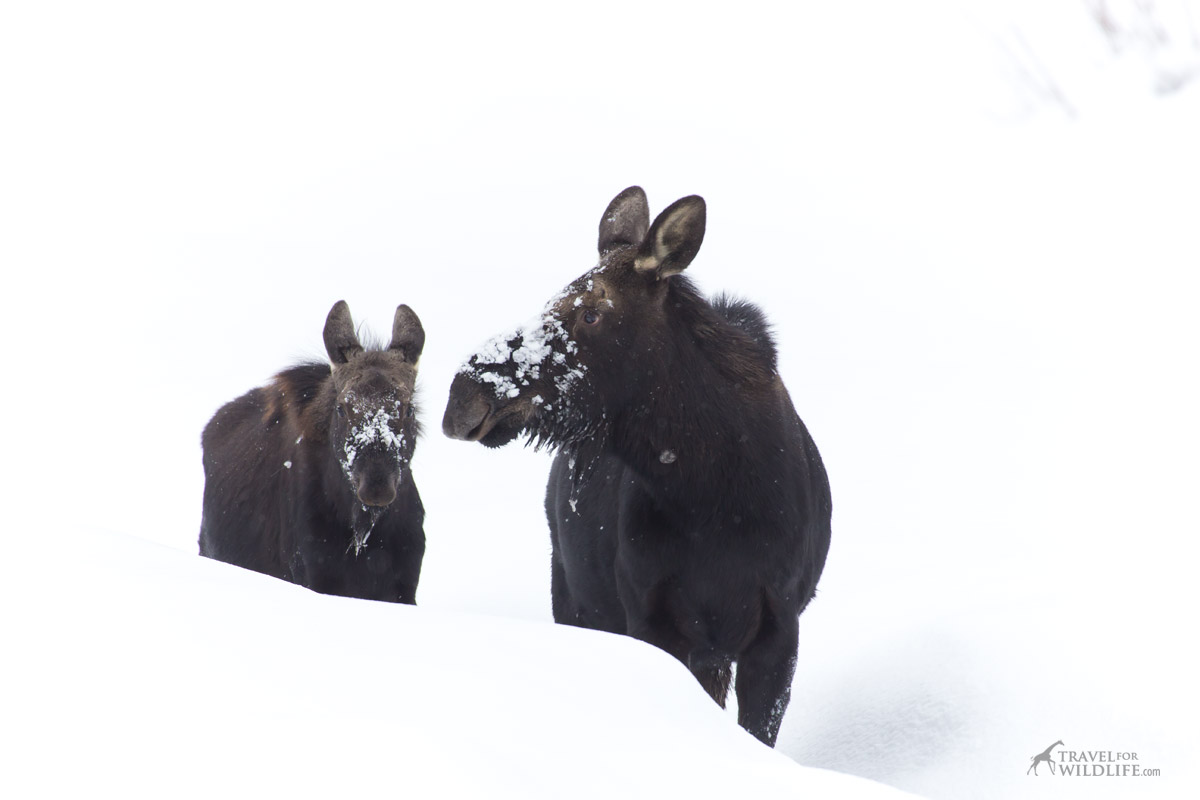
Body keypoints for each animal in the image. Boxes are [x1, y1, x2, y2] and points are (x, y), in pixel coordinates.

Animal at [444, 185, 835, 743]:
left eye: (591, 313)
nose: (463, 398)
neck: (712, 495)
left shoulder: (778, 630)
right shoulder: (653, 621)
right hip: (575, 601)